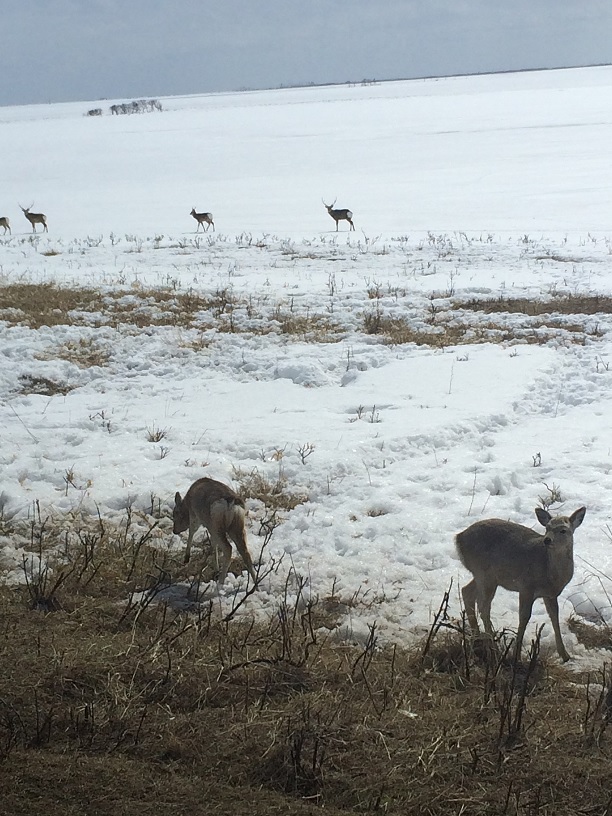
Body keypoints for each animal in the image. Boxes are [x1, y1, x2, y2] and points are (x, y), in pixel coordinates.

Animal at [456, 506, 584, 660]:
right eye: (547, 527)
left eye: (563, 530)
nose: (547, 540)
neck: (549, 573)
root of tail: (458, 538)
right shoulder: (526, 587)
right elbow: (524, 617)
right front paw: (516, 655)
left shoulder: (550, 594)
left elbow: (554, 617)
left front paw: (565, 655)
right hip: (484, 574)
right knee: (483, 606)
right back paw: (493, 647)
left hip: (485, 576)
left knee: (466, 591)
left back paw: (478, 639)